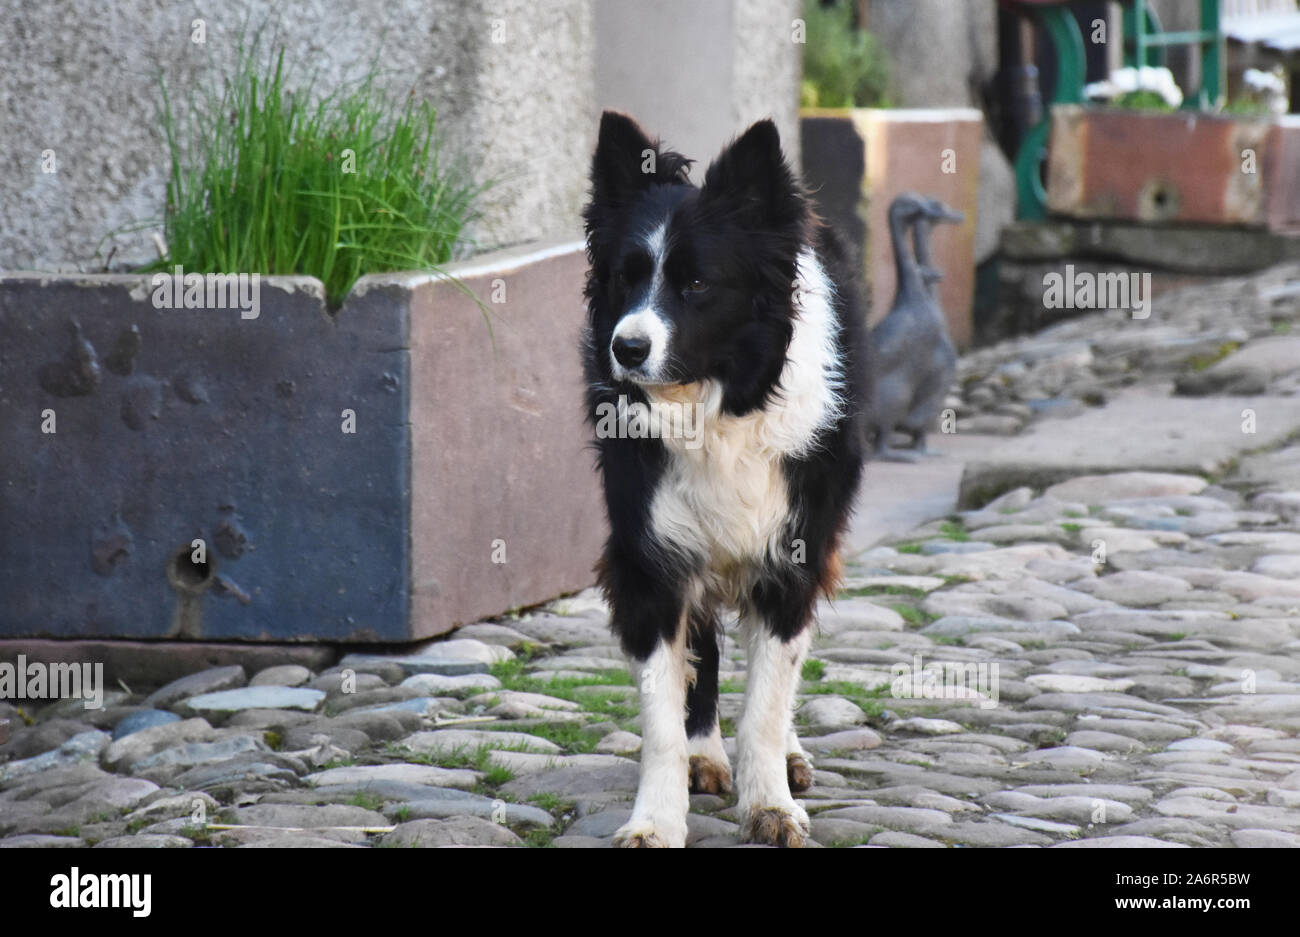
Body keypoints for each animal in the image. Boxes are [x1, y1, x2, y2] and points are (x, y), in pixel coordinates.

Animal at [582, 111, 868, 847]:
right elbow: (663, 710)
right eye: (625, 278)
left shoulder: (792, 551)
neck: (717, 405)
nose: (626, 348)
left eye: (696, 285)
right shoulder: (651, 555)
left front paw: (769, 804)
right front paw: (657, 818)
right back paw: (705, 754)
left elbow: (768, 698)